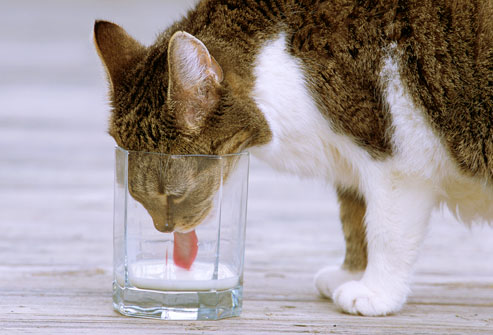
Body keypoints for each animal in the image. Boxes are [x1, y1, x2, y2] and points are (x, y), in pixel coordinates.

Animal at [93, 0, 492, 316]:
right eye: (134, 196)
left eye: (173, 195)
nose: (164, 229)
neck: (283, 60)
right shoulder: (352, 163)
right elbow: (354, 217)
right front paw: (352, 272)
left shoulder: (395, 162)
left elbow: (385, 231)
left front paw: (375, 291)